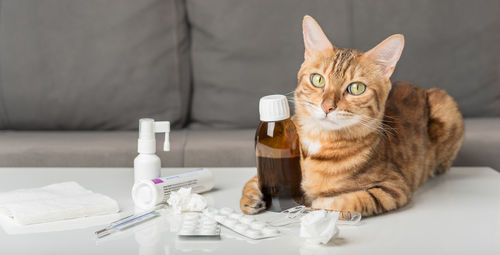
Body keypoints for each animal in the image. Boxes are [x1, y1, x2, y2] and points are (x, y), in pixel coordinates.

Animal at [240, 15, 462, 217]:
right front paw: (250, 196)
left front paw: (315, 203)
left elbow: (350, 201)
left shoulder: (393, 187)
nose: (327, 107)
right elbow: (256, 179)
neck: (318, 139)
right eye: (318, 79)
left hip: (444, 105)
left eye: (356, 88)